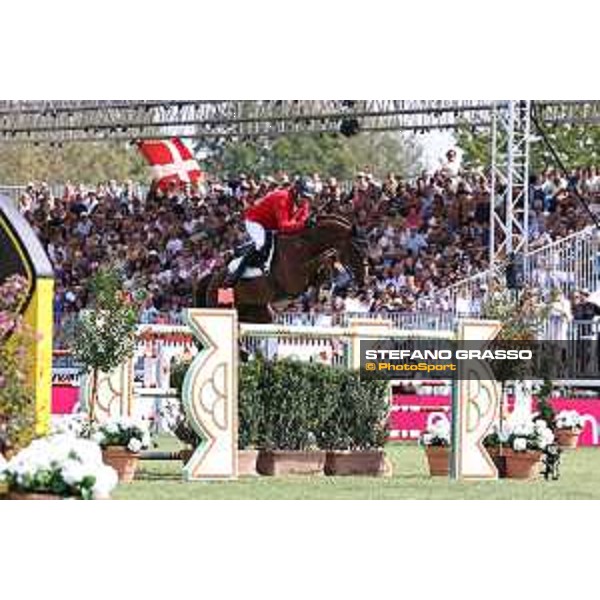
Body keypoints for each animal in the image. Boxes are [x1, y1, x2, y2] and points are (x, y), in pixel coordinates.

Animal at [195, 213, 368, 322]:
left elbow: (323, 270)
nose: (363, 281)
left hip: (257, 313)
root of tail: (211, 279)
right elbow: (322, 259)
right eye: (357, 249)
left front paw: (321, 296)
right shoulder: (293, 279)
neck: (305, 245)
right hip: (221, 308)